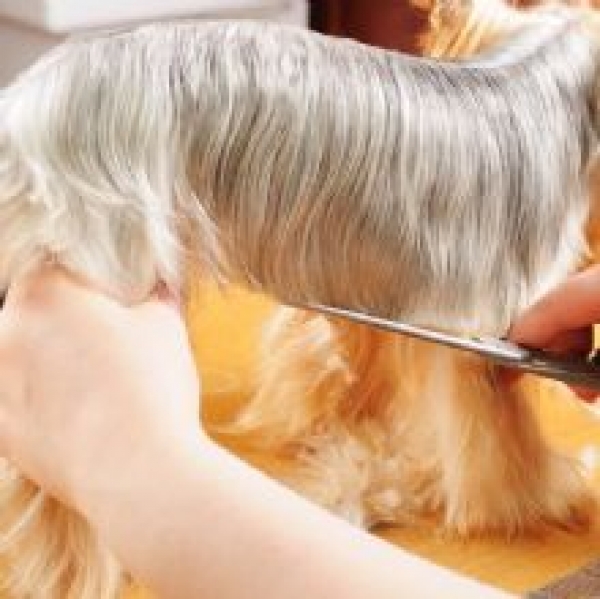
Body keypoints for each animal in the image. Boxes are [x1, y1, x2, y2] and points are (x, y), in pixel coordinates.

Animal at [0, 0, 599, 596]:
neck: (546, 73)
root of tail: (25, 112)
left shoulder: (371, 288)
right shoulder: (490, 337)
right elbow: (502, 444)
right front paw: (528, 504)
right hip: (106, 252)